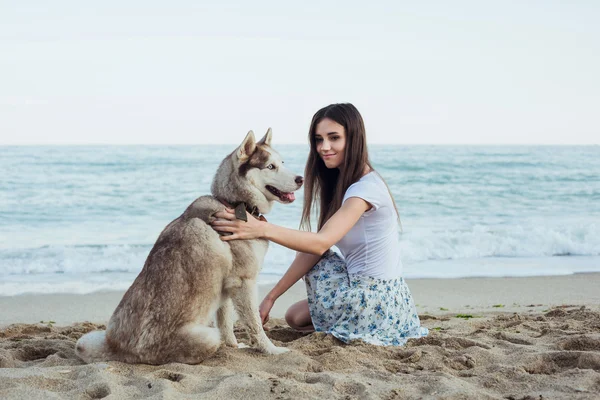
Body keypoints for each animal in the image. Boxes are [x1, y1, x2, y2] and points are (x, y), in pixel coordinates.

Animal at [77, 130, 304, 364]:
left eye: (282, 163)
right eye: (270, 166)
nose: (300, 179)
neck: (233, 203)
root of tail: (124, 353)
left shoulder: (227, 285)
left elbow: (225, 322)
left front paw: (233, 346)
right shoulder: (244, 282)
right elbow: (255, 325)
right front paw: (271, 350)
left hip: (92, 337)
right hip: (207, 336)